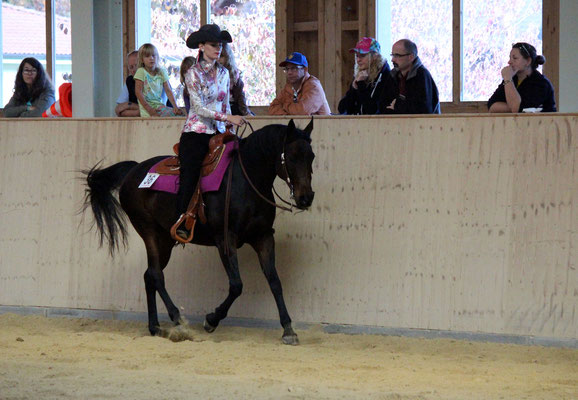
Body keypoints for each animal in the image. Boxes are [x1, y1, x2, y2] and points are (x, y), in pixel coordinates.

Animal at [83, 119, 312, 344]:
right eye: (292, 157)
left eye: (311, 156)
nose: (306, 198)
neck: (246, 180)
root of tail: (134, 170)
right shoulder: (225, 239)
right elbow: (236, 285)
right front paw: (211, 320)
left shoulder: (263, 237)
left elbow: (275, 281)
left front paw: (288, 329)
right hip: (148, 230)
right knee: (156, 274)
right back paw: (177, 319)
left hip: (165, 239)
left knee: (149, 275)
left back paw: (155, 327)